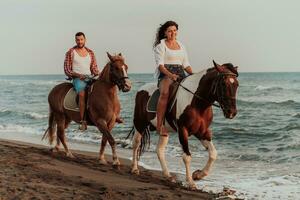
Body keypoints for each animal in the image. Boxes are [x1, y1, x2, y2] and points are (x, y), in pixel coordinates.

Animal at [127, 61, 239, 189]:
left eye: (236, 85)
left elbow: (213, 153)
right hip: (139, 124)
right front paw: (190, 182)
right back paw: (134, 169)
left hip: (164, 131)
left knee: (159, 150)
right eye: (223, 84)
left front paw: (198, 175)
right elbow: (187, 157)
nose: (231, 112)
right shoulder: (183, 130)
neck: (197, 103)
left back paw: (168, 175)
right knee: (136, 143)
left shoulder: (202, 132)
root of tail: (141, 89)